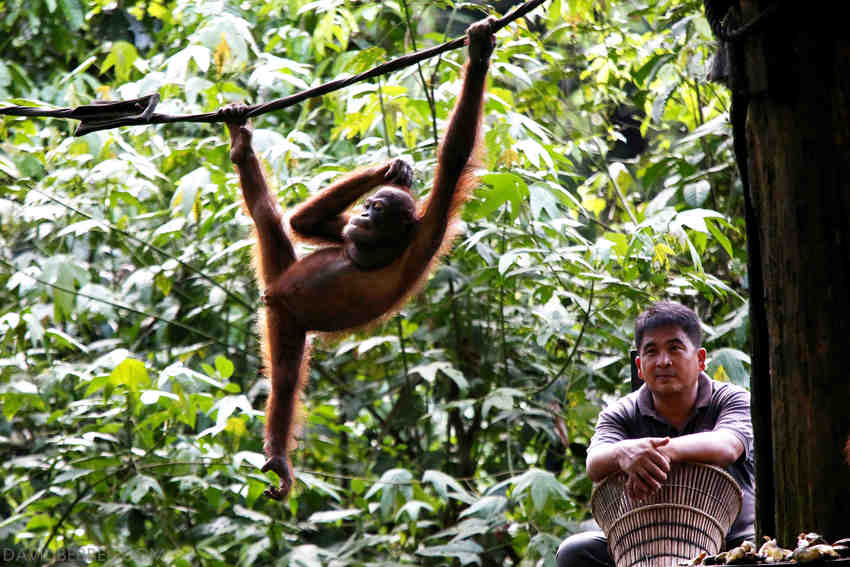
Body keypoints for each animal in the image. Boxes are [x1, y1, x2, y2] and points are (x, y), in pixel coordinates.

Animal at [219, 17, 496, 499]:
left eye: (378, 209)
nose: (364, 213)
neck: (379, 249)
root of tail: (274, 290)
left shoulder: (428, 232)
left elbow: (454, 157)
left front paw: (478, 54)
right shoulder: (348, 235)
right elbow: (304, 223)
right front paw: (393, 169)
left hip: (285, 317)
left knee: (286, 378)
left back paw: (278, 459)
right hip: (280, 273)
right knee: (272, 216)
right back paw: (241, 144)